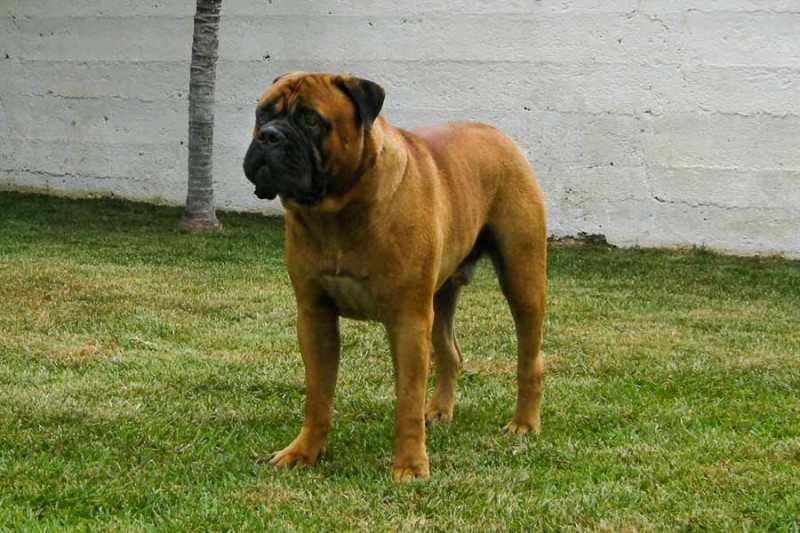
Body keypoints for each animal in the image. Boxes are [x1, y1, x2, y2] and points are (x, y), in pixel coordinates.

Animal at [243, 72, 547, 481]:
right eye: (262, 112)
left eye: (311, 120)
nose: (269, 136)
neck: (337, 210)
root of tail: (500, 135)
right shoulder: (314, 315)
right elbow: (318, 395)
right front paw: (305, 451)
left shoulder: (407, 320)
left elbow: (407, 400)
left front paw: (410, 466)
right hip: (439, 297)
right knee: (450, 351)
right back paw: (439, 409)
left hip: (522, 280)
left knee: (530, 357)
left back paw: (524, 423)